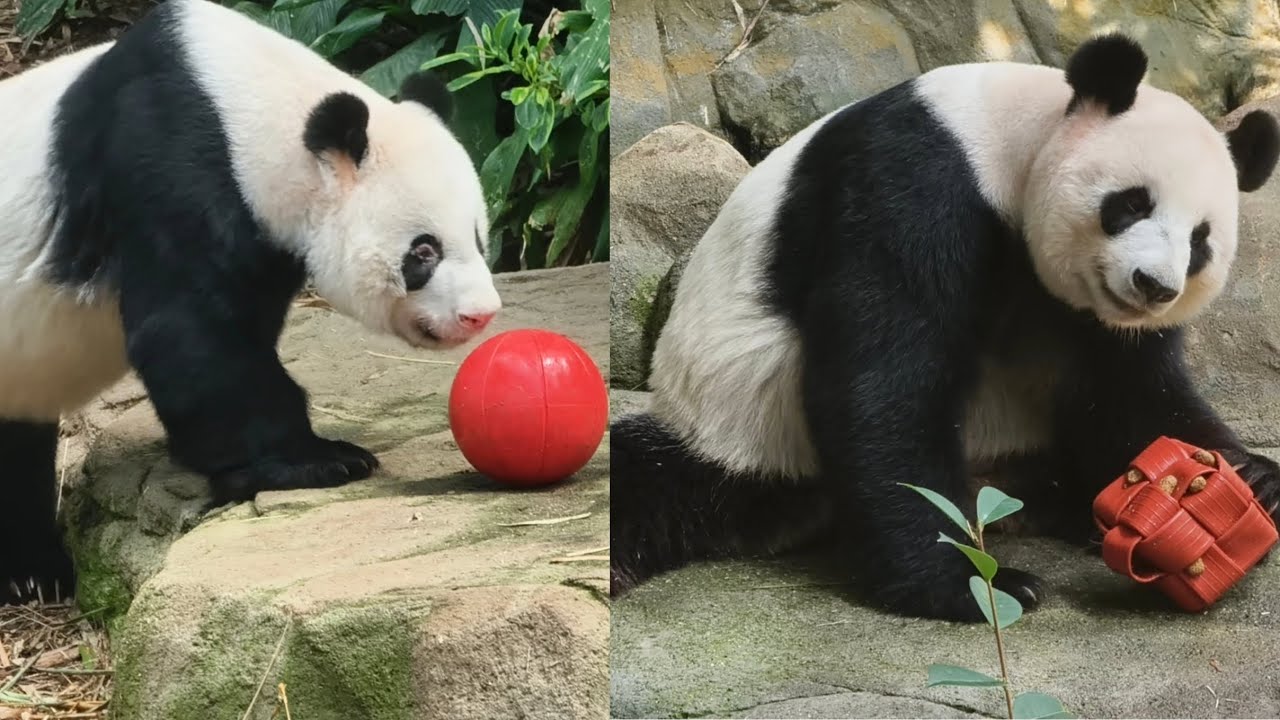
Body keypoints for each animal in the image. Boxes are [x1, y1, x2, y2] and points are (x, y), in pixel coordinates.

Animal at [0, 0, 501, 603]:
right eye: (423, 251)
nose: (479, 314)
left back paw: (33, 572)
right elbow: (191, 334)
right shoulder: (164, 163)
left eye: (478, 237)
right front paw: (318, 460)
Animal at [610, 34, 1280, 621]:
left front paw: (1249, 475)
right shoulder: (913, 180)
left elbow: (1126, 389)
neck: (1015, 142)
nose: (1154, 286)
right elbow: (889, 379)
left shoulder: (1089, 315)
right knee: (647, 482)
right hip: (734, 424)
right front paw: (972, 583)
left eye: (1201, 241)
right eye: (1133, 203)